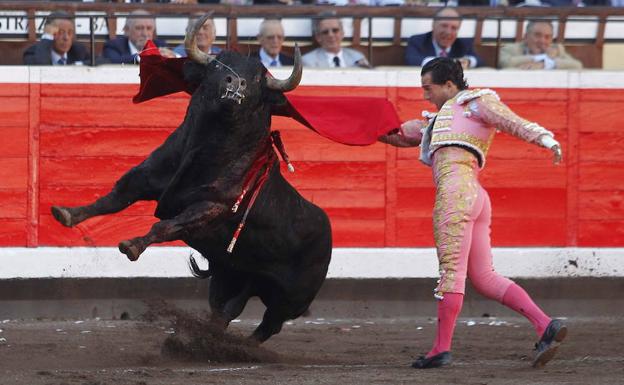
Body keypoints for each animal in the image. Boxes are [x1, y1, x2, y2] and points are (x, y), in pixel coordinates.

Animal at [50, 21, 332, 342]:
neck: (205, 149)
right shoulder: (147, 175)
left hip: (291, 299)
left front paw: (132, 245)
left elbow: (165, 226)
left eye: (258, 80)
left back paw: (238, 347)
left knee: (267, 326)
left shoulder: (208, 207)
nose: (235, 83)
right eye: (219, 65)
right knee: (224, 311)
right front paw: (68, 214)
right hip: (232, 274)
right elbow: (113, 199)